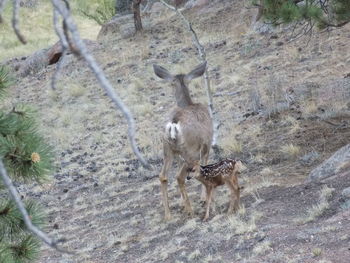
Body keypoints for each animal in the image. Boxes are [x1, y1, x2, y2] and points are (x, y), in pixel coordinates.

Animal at [153, 62, 213, 221]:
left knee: (163, 176)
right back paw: (190, 210)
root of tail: (173, 124)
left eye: (172, 83)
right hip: (189, 151)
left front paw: (181, 202)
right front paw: (203, 197)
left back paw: (168, 214)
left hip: (168, 149)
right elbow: (204, 165)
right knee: (179, 177)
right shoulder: (206, 144)